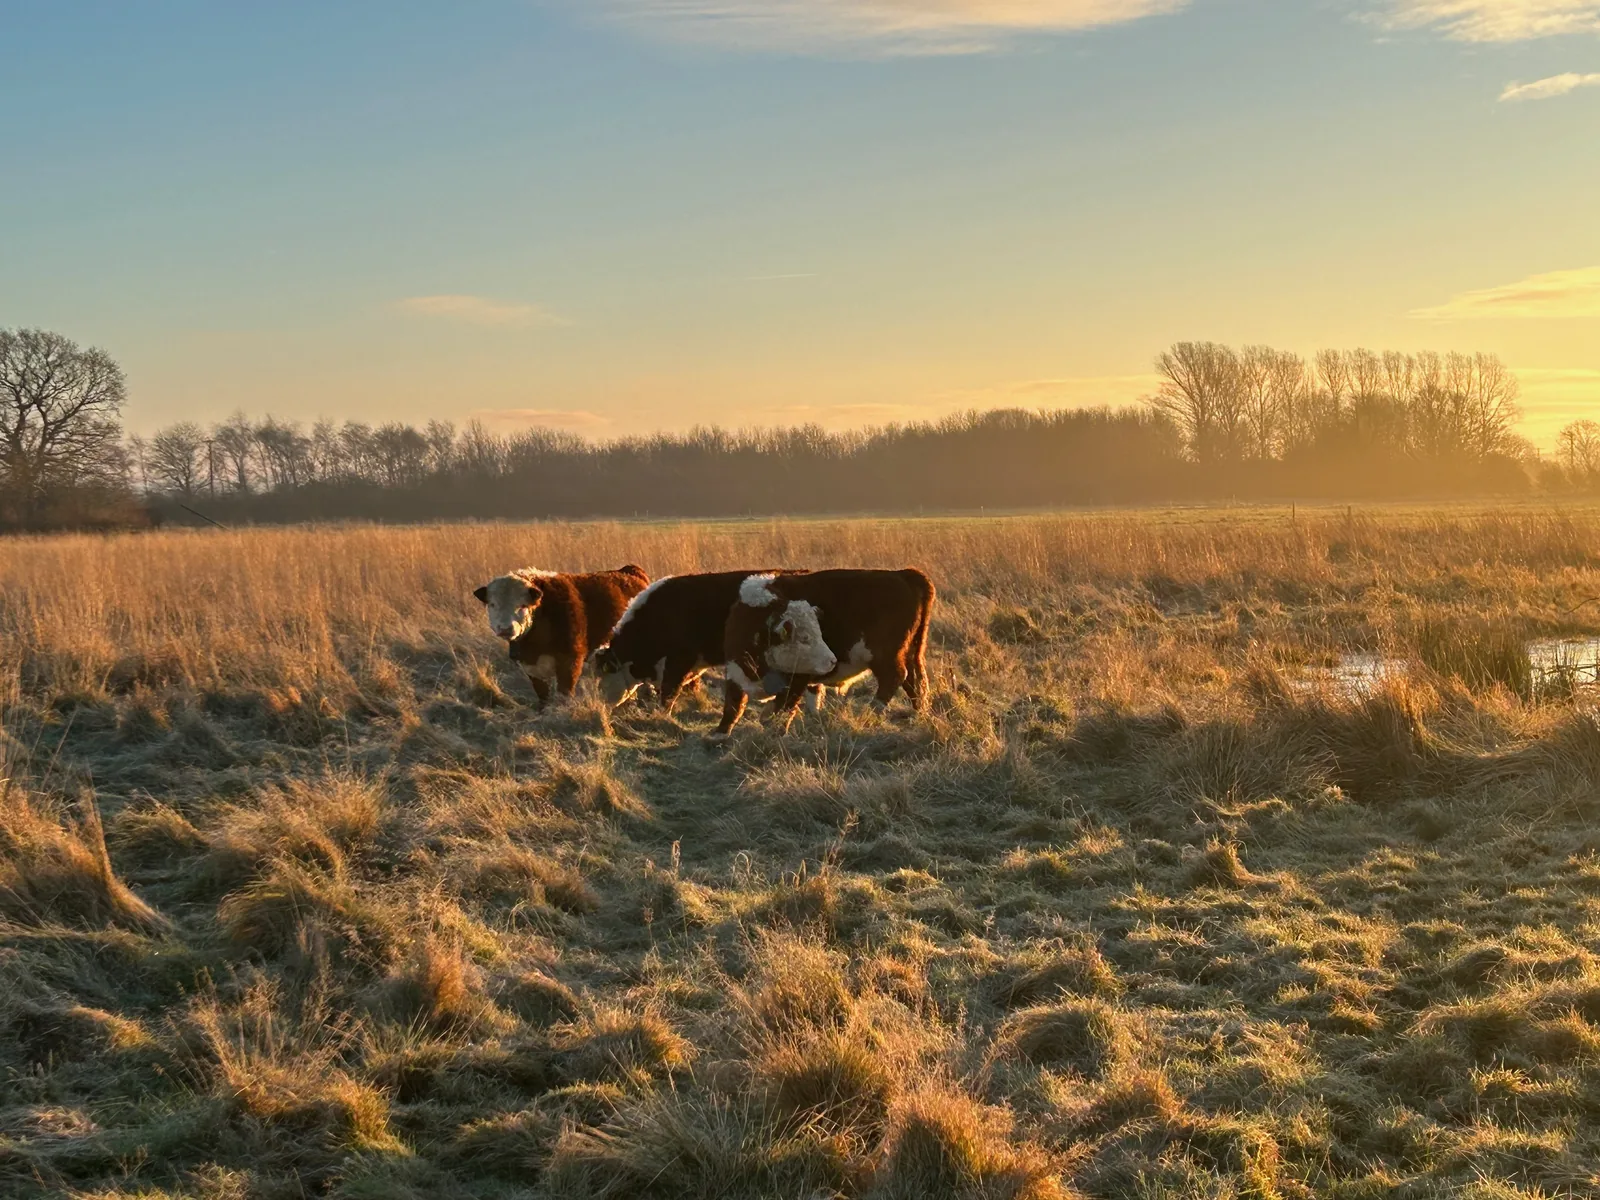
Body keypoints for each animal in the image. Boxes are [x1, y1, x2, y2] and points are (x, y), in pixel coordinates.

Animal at [473, 565, 649, 706]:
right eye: (492, 604)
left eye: (522, 605)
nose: (505, 628)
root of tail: (629, 570)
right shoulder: (530, 666)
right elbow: (542, 695)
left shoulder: (570, 660)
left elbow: (565, 692)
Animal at [718, 568, 935, 735]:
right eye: (804, 638)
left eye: (818, 631)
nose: (832, 660)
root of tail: (903, 575)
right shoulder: (735, 671)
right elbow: (732, 706)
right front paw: (720, 734)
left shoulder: (797, 679)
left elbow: (782, 708)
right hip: (910, 653)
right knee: (914, 682)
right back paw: (919, 714)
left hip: (885, 657)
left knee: (894, 678)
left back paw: (871, 712)